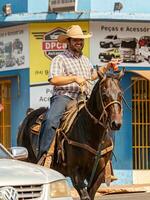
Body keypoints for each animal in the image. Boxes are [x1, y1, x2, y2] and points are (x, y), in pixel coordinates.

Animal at [17, 69, 124, 200]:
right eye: (104, 95)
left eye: (120, 94)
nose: (116, 124)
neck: (92, 134)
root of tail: (29, 114)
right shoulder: (75, 172)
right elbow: (85, 195)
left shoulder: (99, 173)